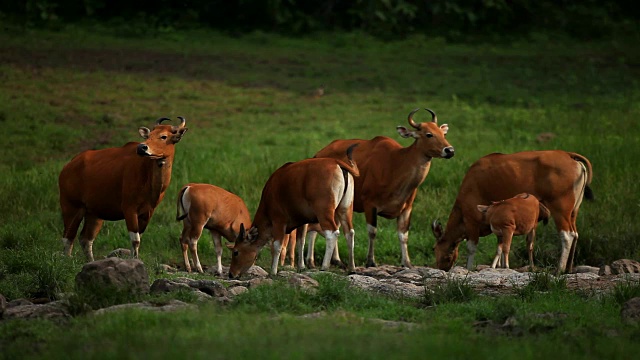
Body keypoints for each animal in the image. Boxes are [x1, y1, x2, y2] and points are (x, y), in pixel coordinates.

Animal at [57, 118, 189, 262]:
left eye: (163, 136)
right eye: (148, 136)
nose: (142, 147)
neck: (148, 179)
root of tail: (67, 167)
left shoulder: (148, 212)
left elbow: (138, 238)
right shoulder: (129, 208)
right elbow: (135, 240)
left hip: (94, 213)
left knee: (85, 239)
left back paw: (91, 262)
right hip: (71, 207)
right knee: (68, 238)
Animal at [306, 108, 452, 268]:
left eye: (443, 134)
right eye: (429, 134)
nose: (449, 150)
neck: (396, 165)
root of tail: (318, 154)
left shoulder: (407, 208)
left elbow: (403, 235)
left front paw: (407, 262)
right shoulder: (370, 204)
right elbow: (372, 232)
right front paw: (371, 260)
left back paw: (337, 260)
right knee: (316, 227)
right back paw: (311, 261)